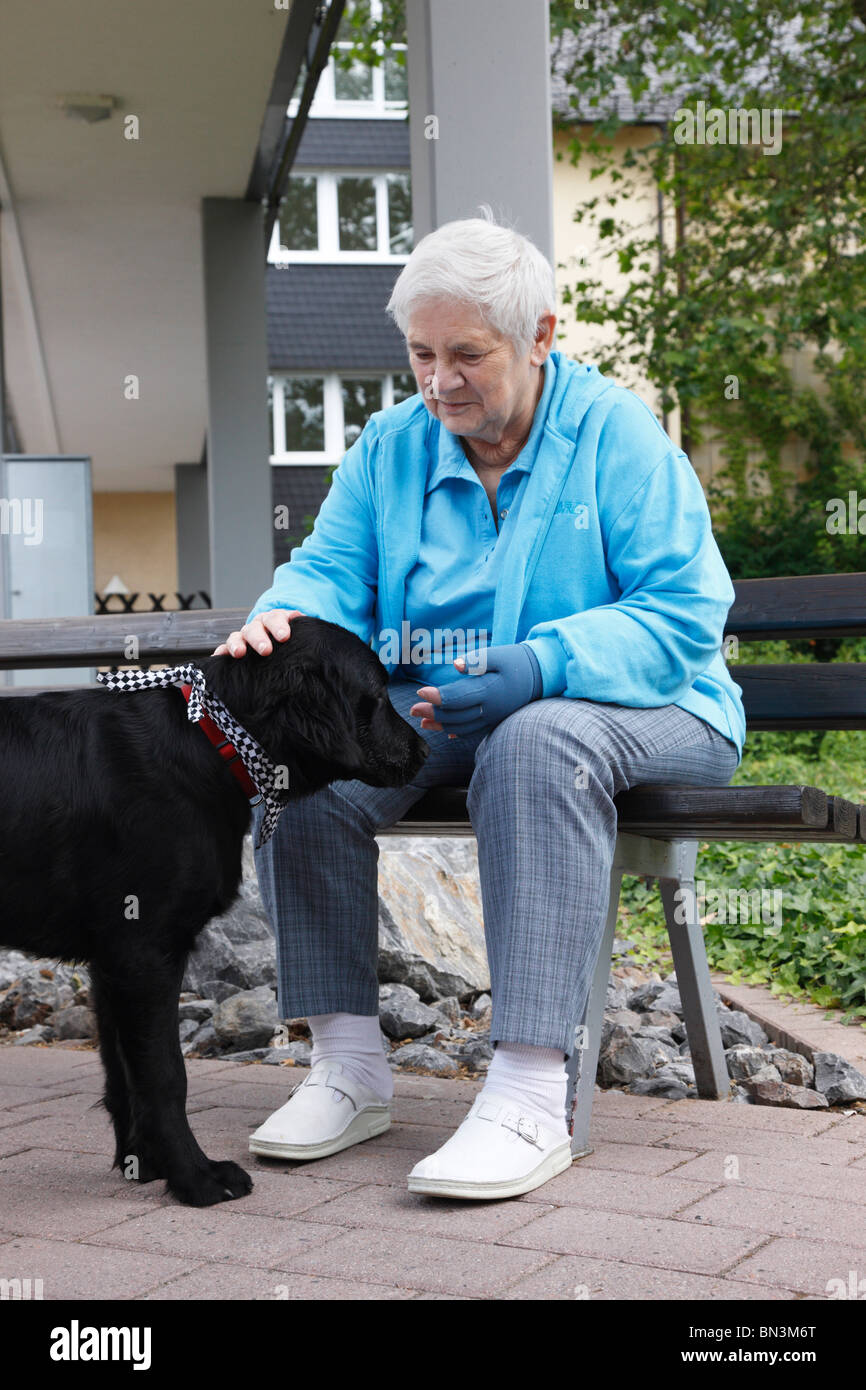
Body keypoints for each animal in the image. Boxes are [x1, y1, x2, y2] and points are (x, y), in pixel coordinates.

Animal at [0, 619, 428, 1206]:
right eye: (380, 694)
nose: (424, 748)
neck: (206, 739)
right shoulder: (143, 951)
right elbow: (164, 1076)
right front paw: (196, 1178)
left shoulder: (111, 961)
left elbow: (122, 1074)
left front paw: (142, 1161)